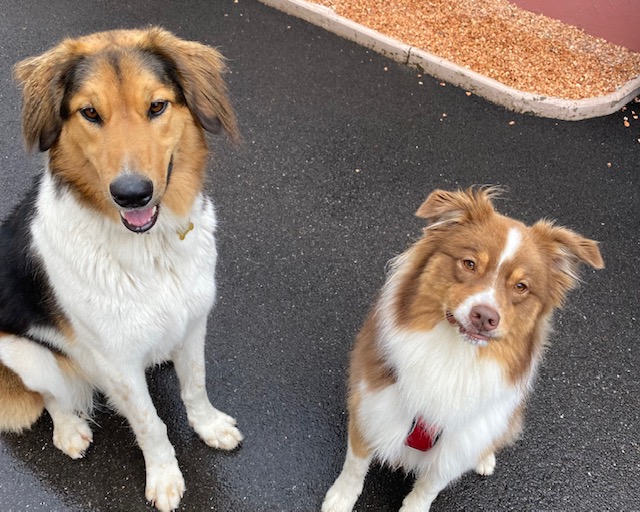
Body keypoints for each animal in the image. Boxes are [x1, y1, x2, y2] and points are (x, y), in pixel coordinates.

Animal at [0, 29, 240, 512]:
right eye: (90, 113)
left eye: (157, 106)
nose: (132, 194)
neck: (151, 247)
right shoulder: (116, 361)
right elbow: (150, 423)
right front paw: (164, 477)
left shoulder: (193, 323)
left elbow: (196, 386)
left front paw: (208, 426)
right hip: (21, 352)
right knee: (51, 393)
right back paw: (68, 430)